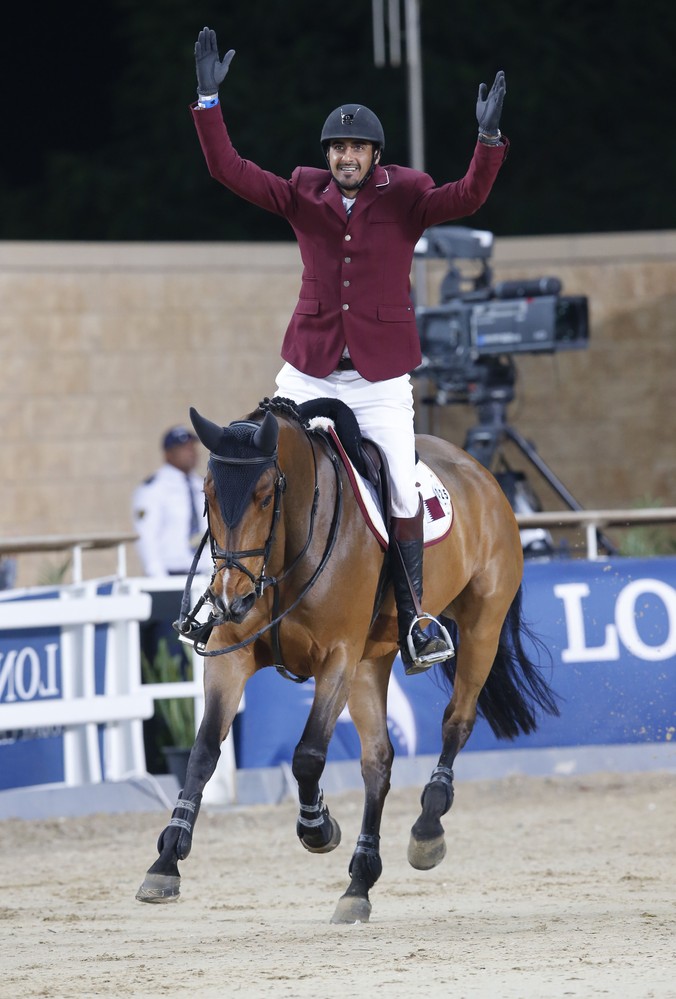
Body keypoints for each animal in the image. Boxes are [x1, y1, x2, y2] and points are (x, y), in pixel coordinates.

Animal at [135, 396, 556, 920]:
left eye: (264, 496)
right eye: (207, 494)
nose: (232, 599)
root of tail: (482, 472)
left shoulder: (336, 657)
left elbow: (308, 755)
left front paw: (317, 828)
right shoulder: (231, 658)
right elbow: (203, 751)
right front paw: (166, 861)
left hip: (481, 627)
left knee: (456, 722)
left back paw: (427, 829)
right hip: (371, 663)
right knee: (378, 760)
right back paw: (359, 882)